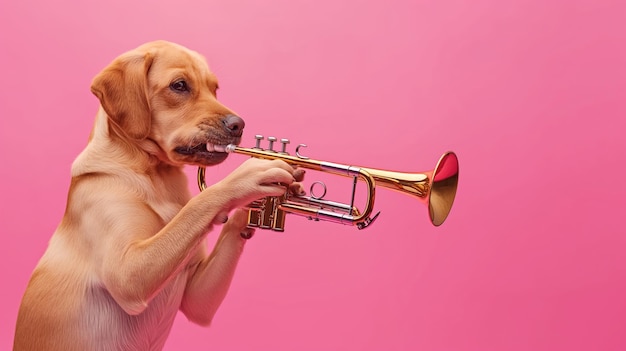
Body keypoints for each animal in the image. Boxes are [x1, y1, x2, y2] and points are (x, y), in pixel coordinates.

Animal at [11, 40, 300, 350]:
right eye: (179, 85)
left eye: (215, 89)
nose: (239, 125)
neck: (156, 178)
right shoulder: (129, 273)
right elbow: (200, 203)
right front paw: (251, 174)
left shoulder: (197, 297)